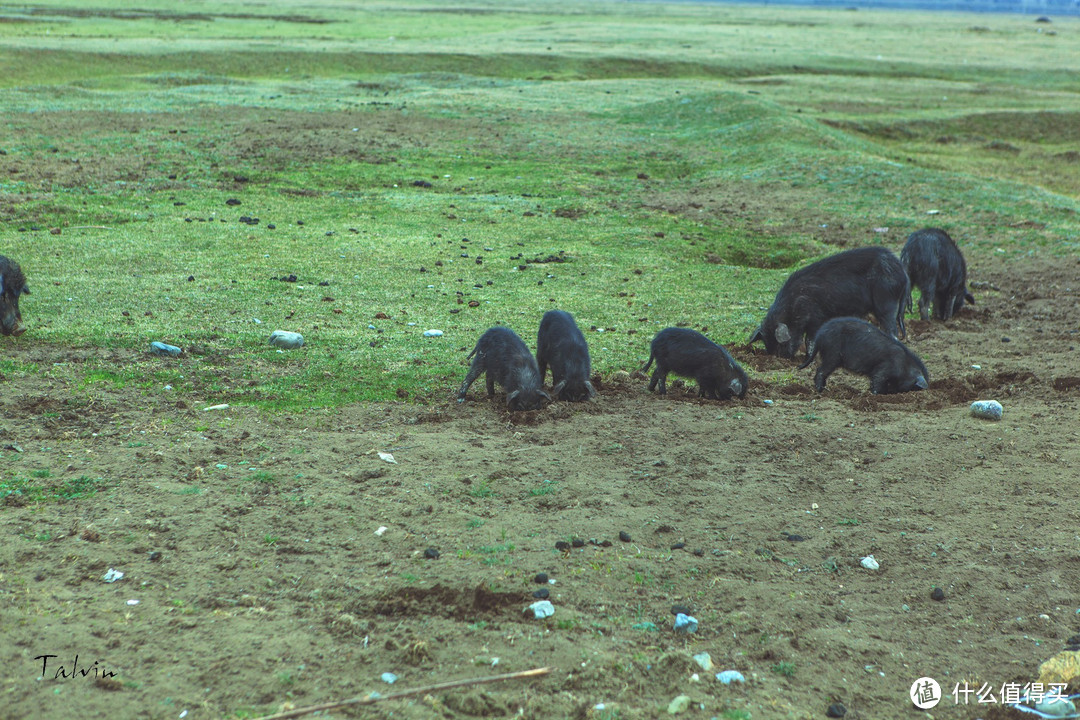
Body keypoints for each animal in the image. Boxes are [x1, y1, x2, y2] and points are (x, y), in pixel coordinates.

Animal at [747, 248, 907, 360]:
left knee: (891, 329)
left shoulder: (816, 317)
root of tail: (902, 273)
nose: (781, 358)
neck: (793, 307)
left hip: (886, 299)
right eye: (767, 345)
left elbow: (810, 340)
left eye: (781, 343)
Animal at [799, 317, 933, 395]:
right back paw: (820, 391)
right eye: (913, 387)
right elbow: (877, 380)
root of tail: (819, 335)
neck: (905, 365)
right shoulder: (883, 369)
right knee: (821, 370)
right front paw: (876, 394)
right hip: (832, 354)